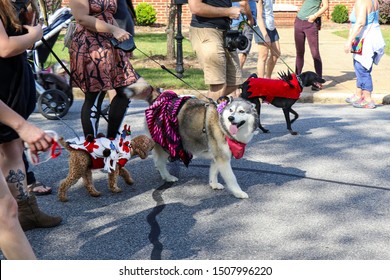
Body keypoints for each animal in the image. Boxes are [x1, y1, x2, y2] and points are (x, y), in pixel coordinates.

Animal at [127, 83, 258, 199]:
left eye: (241, 111)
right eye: (230, 110)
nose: (231, 118)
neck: (222, 124)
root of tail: (157, 97)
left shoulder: (218, 155)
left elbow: (214, 171)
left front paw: (213, 184)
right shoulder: (223, 158)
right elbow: (232, 178)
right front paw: (238, 192)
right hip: (164, 144)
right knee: (159, 162)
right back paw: (167, 176)